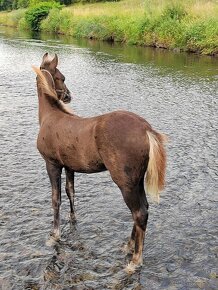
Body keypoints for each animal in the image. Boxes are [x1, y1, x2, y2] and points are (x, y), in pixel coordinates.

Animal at [32, 53, 167, 274]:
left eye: (62, 76)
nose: (68, 95)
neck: (49, 117)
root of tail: (146, 129)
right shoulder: (69, 167)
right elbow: (70, 192)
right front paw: (72, 219)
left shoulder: (52, 164)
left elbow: (55, 199)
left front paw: (54, 236)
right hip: (136, 181)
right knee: (144, 209)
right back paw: (128, 246)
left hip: (125, 183)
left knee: (139, 213)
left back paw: (135, 260)